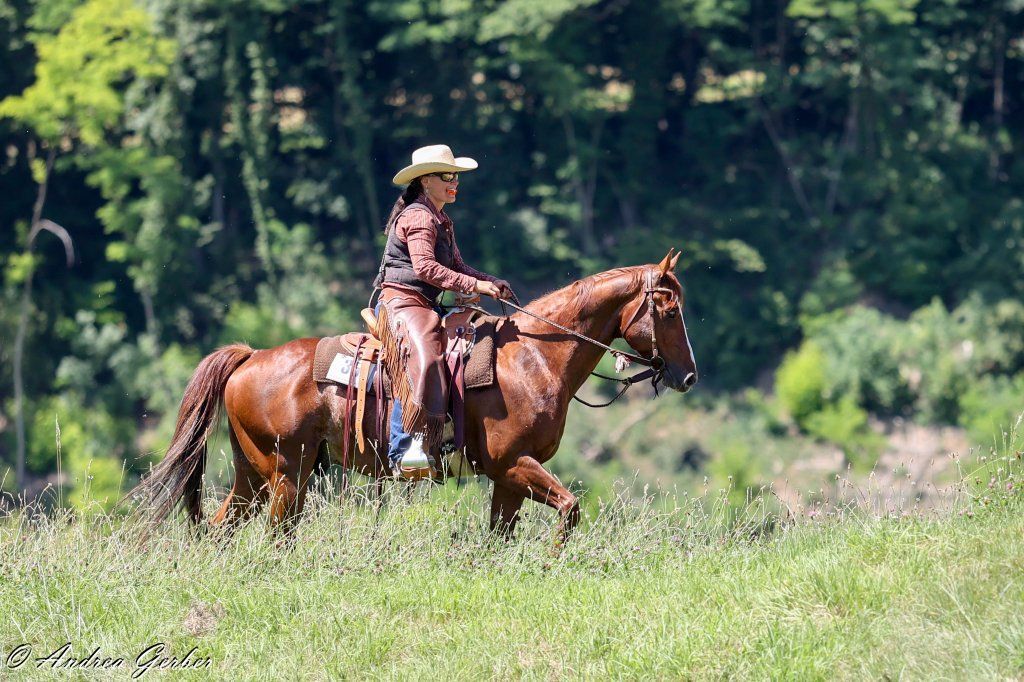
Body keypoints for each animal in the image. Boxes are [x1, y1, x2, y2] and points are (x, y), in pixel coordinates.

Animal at [129, 250, 698, 543]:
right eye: (669, 310)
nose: (688, 376)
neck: (533, 359)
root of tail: (250, 358)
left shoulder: (508, 478)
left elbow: (502, 536)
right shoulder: (514, 463)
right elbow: (571, 508)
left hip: (254, 472)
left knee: (222, 527)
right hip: (288, 474)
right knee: (275, 533)